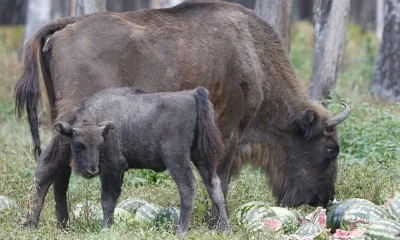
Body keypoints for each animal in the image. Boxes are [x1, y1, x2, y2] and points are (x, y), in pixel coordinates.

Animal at [54, 86, 228, 234]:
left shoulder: (112, 169)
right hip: (202, 157)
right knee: (214, 185)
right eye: (78, 144)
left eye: (99, 143)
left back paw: (181, 231)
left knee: (188, 187)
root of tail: (193, 94)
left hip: (176, 157)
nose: (91, 170)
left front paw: (105, 229)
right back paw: (225, 229)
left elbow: (107, 201)